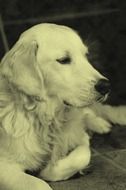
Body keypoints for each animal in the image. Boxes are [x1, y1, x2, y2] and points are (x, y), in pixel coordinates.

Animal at [0, 23, 125, 189]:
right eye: (64, 60)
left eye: (85, 56)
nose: (106, 86)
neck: (46, 118)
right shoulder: (4, 165)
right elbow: (39, 185)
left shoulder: (80, 137)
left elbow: (83, 155)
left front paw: (48, 170)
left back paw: (101, 124)